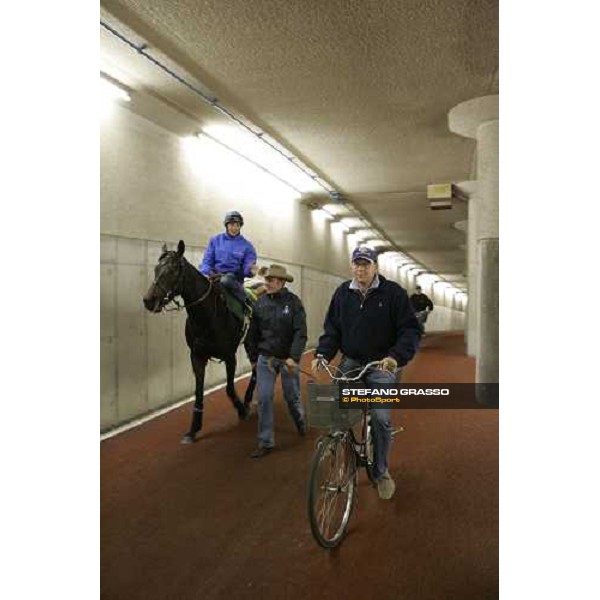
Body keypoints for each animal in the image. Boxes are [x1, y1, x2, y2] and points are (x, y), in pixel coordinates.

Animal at [145, 241, 255, 442]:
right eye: (156, 269)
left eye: (172, 270)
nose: (149, 300)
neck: (207, 315)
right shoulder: (197, 356)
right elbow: (198, 392)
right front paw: (193, 428)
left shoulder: (230, 356)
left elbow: (229, 388)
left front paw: (241, 410)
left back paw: (248, 399)